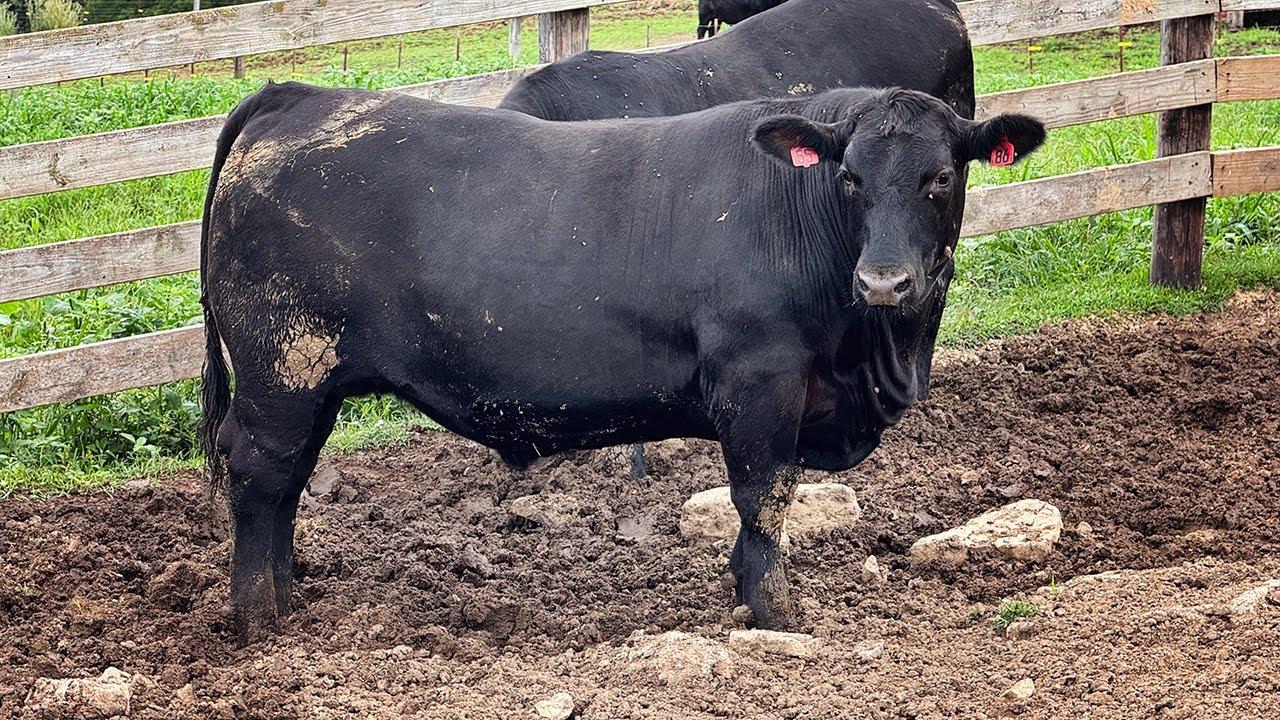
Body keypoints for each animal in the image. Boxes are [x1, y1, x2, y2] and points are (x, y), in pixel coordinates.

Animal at [200, 81, 1045, 642]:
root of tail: (295, 96)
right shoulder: (760, 383)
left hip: (308, 382)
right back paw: (256, 617)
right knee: (260, 474)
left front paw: (745, 591)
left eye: (942, 177)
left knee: (288, 482)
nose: (884, 281)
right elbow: (764, 497)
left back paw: (285, 597)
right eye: (849, 177)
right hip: (285, 368)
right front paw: (781, 615)